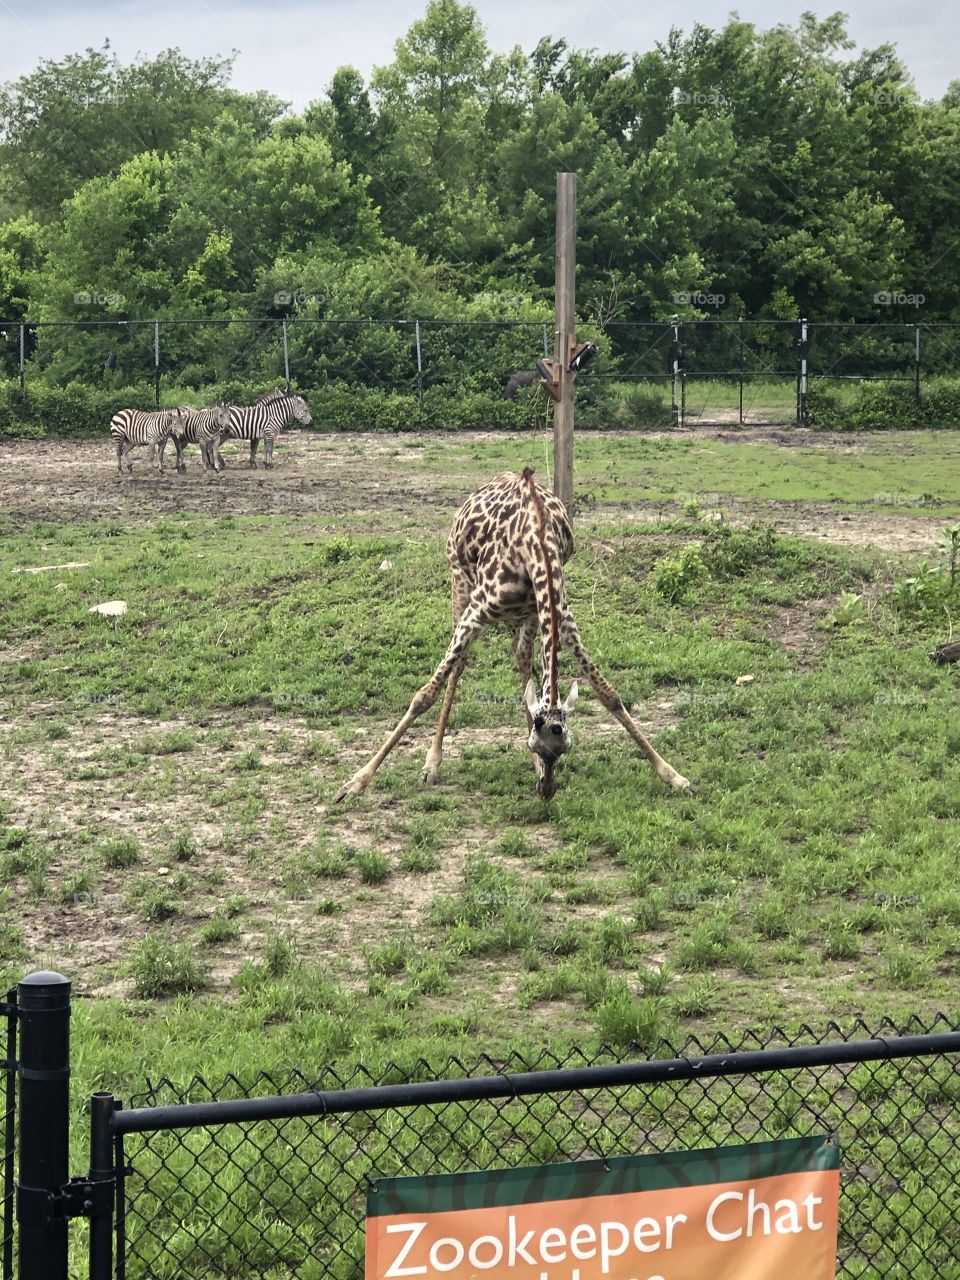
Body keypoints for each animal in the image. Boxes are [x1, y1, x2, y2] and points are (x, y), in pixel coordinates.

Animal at [335, 468, 690, 803]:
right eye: (536, 745)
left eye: (564, 747)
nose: (546, 791)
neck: (537, 546)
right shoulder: (478, 609)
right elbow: (425, 694)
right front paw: (356, 781)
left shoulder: (561, 615)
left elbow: (609, 694)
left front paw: (672, 775)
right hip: (459, 582)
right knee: (459, 664)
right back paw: (431, 763)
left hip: (525, 616)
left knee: (521, 659)